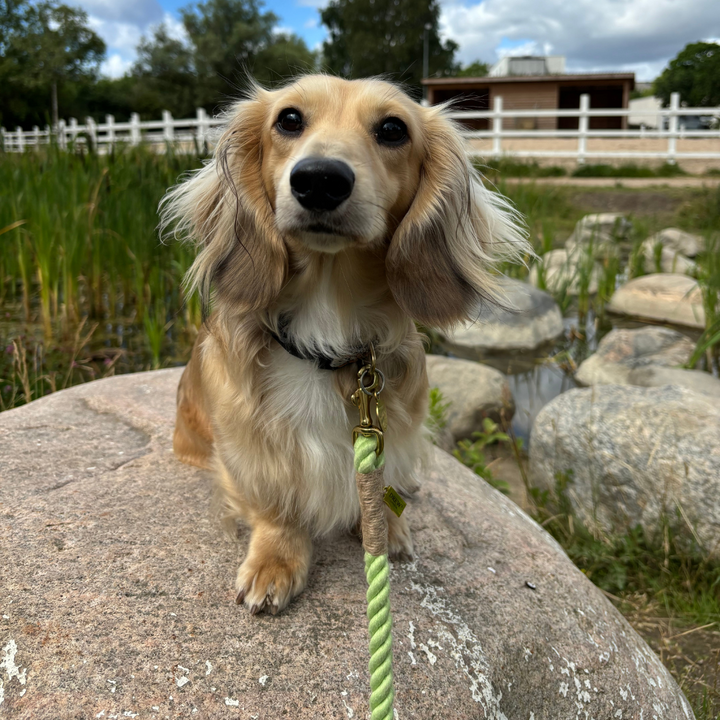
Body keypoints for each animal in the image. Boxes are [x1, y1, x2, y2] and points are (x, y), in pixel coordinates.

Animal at [160, 73, 524, 616]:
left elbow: (378, 487)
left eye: (393, 129)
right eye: (289, 119)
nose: (319, 180)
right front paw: (276, 559)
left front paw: (383, 525)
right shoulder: (251, 450)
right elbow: (275, 507)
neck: (326, 335)